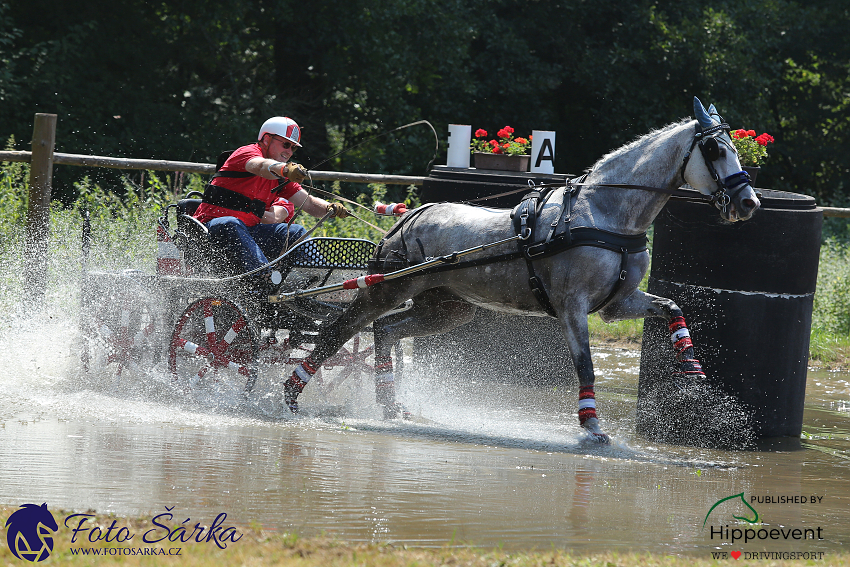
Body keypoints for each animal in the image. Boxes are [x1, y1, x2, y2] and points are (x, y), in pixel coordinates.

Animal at [282, 97, 760, 444]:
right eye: (716, 149)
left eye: (736, 149)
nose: (748, 202)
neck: (606, 214)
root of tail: (409, 217)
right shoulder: (572, 307)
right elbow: (586, 366)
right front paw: (591, 426)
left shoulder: (617, 304)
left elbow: (673, 307)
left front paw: (693, 372)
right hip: (386, 289)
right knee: (339, 331)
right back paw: (290, 392)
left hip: (447, 308)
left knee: (385, 331)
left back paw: (389, 403)